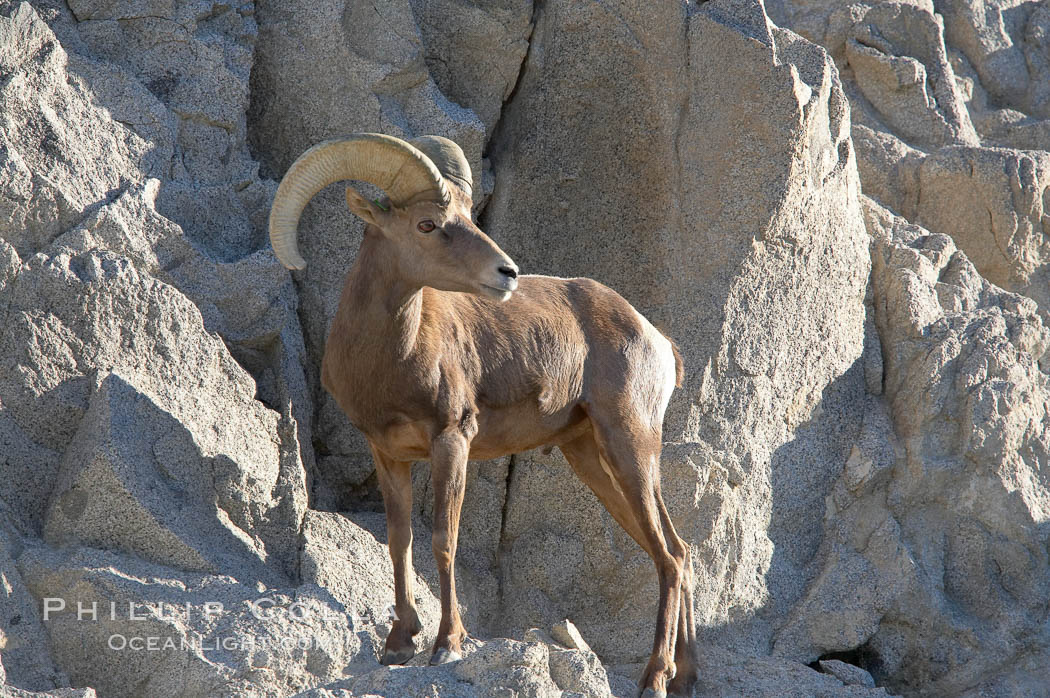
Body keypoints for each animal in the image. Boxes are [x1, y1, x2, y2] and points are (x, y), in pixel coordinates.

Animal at [268, 133, 697, 692]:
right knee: (678, 550)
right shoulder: (388, 455)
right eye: (427, 224)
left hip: (631, 445)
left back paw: (655, 679)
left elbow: (442, 541)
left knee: (668, 557)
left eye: (468, 216)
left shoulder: (452, 441)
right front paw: (398, 645)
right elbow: (399, 542)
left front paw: (446, 645)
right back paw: (687, 677)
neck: (390, 360)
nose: (507, 273)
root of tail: (657, 340)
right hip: (590, 457)